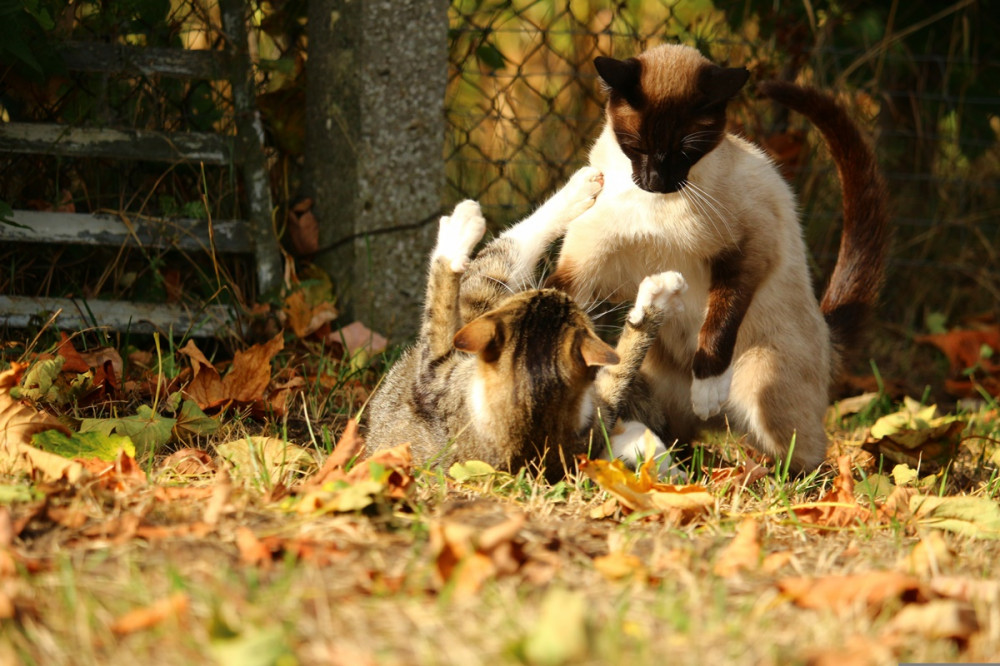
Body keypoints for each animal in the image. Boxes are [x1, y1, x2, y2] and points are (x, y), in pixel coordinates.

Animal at [366, 166, 688, 478]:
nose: (556, 290)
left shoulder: (438, 371)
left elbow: (445, 301)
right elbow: (620, 370)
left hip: (478, 306)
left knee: (497, 261)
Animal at [520, 44, 888, 472]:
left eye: (686, 150)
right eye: (636, 146)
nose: (655, 181)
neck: (655, 207)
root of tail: (828, 337)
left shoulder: (747, 253)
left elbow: (719, 322)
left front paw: (707, 388)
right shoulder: (586, 261)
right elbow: (557, 291)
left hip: (767, 392)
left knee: (809, 461)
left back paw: (746, 457)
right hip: (659, 390)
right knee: (674, 434)